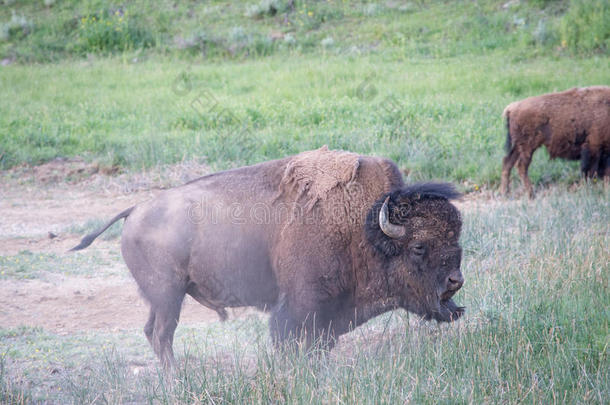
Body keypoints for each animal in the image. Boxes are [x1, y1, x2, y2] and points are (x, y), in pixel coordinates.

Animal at [71, 147, 464, 368]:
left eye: (457, 237)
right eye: (419, 246)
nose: (456, 280)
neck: (362, 228)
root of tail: (135, 210)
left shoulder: (326, 318)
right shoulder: (299, 309)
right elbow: (292, 346)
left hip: (163, 297)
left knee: (153, 333)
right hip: (169, 295)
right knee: (162, 335)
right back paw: (176, 379)